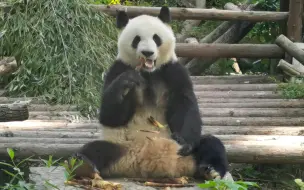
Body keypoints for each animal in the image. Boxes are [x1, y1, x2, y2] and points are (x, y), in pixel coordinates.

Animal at [71, 5, 228, 189]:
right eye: (136, 39)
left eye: (156, 38)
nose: (147, 53)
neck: (148, 73)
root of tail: (147, 163)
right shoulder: (118, 68)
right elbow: (109, 116)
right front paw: (127, 81)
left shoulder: (173, 71)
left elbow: (185, 106)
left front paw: (185, 141)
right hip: (121, 147)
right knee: (96, 149)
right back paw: (84, 165)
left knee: (211, 144)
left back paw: (211, 170)